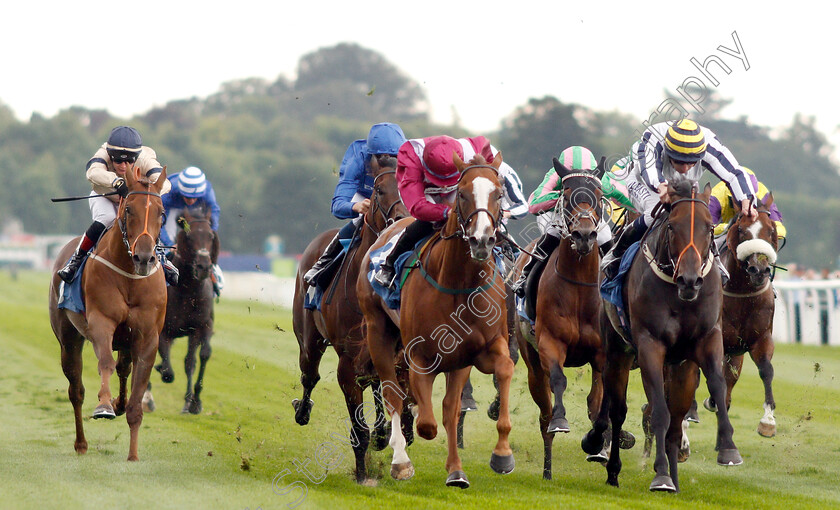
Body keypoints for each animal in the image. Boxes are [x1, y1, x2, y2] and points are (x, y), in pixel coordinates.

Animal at [49, 165, 169, 460]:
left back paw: (119, 404)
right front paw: (104, 406)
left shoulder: (147, 337)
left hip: (125, 341)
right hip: (68, 339)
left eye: (161, 213)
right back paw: (81, 443)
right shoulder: (101, 323)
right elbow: (105, 362)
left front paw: (133, 455)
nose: (144, 257)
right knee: (76, 390)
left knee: (124, 369)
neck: (129, 277)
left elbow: (138, 390)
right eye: (130, 210)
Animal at [148, 202, 220, 414]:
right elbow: (167, 372)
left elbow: (196, 359)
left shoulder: (201, 326)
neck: (188, 291)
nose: (203, 267)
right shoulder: (163, 330)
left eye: (210, 236)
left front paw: (193, 401)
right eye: (189, 236)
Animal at [292, 155, 406, 482]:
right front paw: (362, 475)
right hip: (308, 339)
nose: (400, 220)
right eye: (379, 190)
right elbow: (359, 430)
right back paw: (302, 410)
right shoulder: (347, 363)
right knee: (310, 375)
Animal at [356, 152, 512, 490]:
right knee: (392, 392)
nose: (482, 240)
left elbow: (456, 406)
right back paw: (400, 460)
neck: (459, 284)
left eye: (499, 193)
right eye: (463, 193)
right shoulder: (419, 355)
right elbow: (426, 421)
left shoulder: (475, 352)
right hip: (377, 330)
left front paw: (491, 458)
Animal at [584, 181, 740, 492]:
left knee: (676, 417)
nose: (690, 280)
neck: (679, 296)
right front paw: (661, 476)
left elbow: (716, 388)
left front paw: (728, 449)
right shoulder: (649, 345)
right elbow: (658, 411)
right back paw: (612, 467)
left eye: (709, 227)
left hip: (679, 365)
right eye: (671, 226)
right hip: (618, 351)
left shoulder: (706, 340)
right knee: (617, 410)